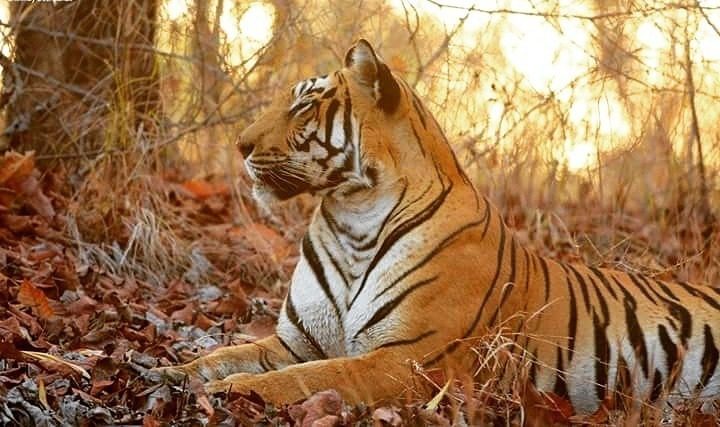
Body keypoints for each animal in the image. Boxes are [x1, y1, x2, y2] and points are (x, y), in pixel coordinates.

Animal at [153, 39, 720, 414]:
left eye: (304, 105)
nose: (239, 144)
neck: (352, 218)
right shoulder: (297, 341)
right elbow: (225, 354)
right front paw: (167, 371)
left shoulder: (409, 358)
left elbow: (307, 378)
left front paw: (227, 392)